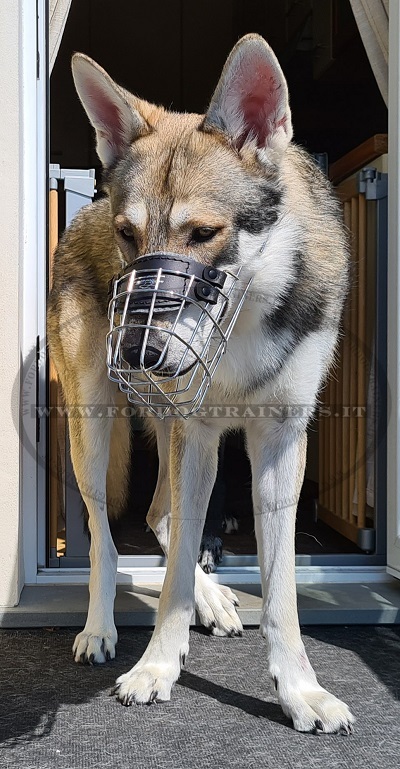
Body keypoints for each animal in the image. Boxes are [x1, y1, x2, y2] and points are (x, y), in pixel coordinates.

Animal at [48, 34, 354, 732]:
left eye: (205, 233)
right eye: (128, 236)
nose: (137, 351)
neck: (244, 313)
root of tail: (81, 214)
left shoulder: (277, 443)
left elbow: (281, 589)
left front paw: (300, 689)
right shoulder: (199, 432)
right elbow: (172, 580)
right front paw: (157, 667)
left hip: (171, 431)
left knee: (160, 515)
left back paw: (213, 600)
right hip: (96, 433)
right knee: (110, 539)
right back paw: (102, 628)